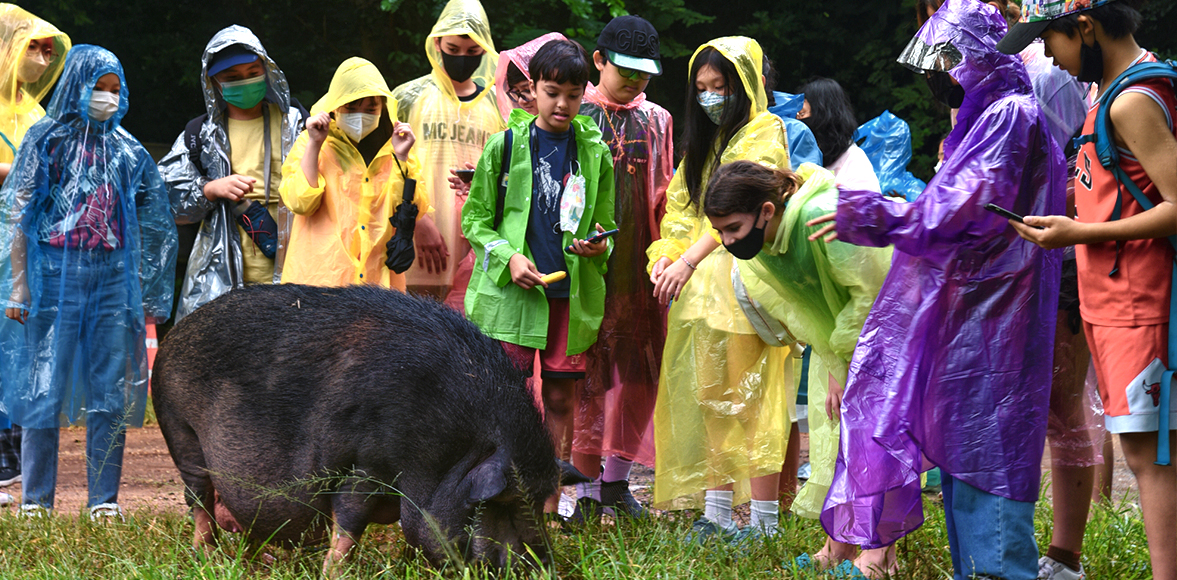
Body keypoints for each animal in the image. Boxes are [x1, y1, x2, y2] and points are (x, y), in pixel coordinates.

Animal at [153, 282, 564, 571]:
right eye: (504, 503)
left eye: (540, 502)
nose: (543, 566)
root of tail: (175, 333)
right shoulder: (365, 464)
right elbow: (350, 523)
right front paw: (333, 571)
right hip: (181, 432)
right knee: (198, 500)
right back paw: (206, 558)